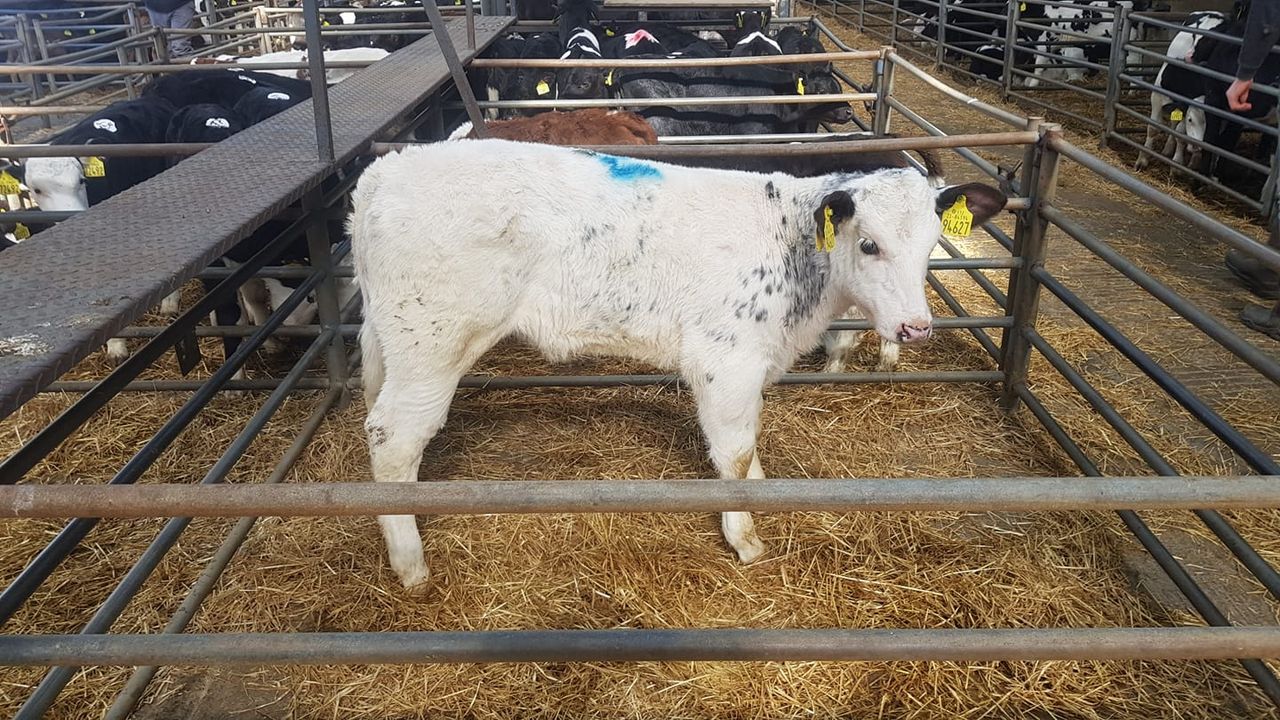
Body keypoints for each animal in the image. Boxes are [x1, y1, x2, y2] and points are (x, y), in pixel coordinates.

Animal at [349, 139, 1007, 591]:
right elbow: (733, 452)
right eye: (869, 244)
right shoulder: (725, 357)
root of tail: (389, 169)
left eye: (932, 244)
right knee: (392, 439)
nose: (915, 327)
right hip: (433, 343)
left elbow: (748, 444)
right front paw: (745, 538)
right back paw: (411, 564)